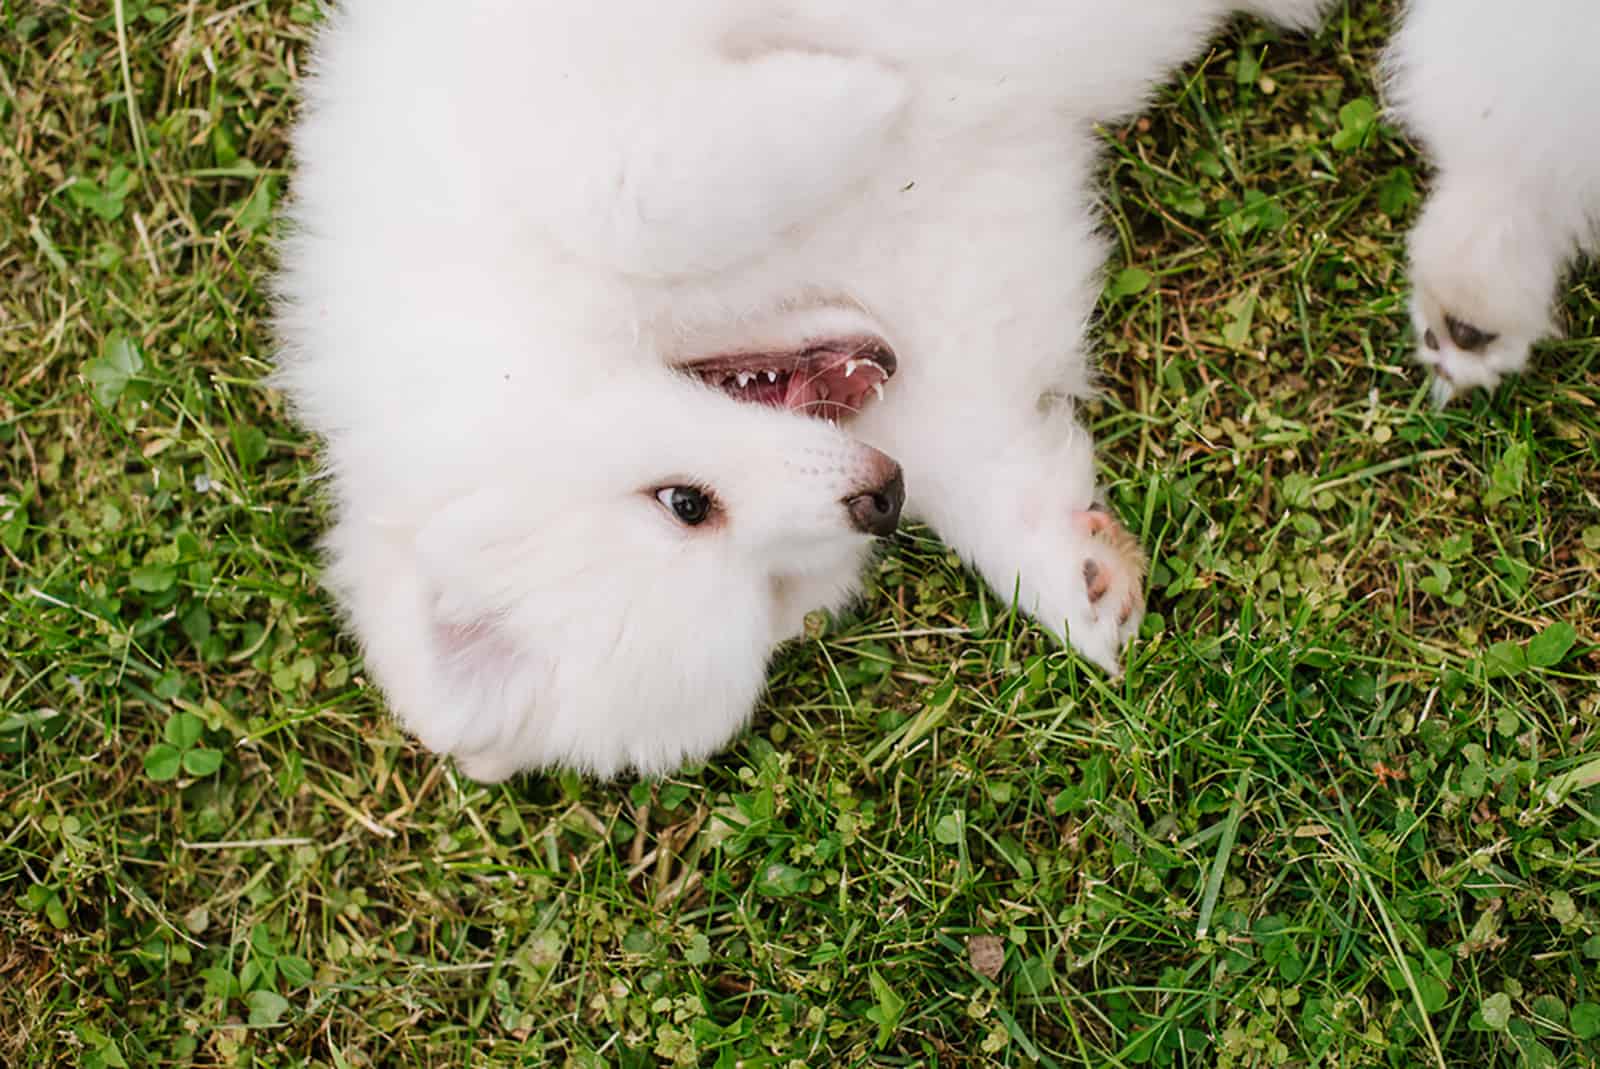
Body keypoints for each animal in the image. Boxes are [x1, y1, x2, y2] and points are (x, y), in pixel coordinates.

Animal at [278, 0, 1337, 777]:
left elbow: (636, 196)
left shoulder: (551, 100)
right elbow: (980, 464)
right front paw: (1077, 579)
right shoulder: (951, 291)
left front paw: (859, 89)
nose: (879, 499)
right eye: (776, 595)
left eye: (682, 502)